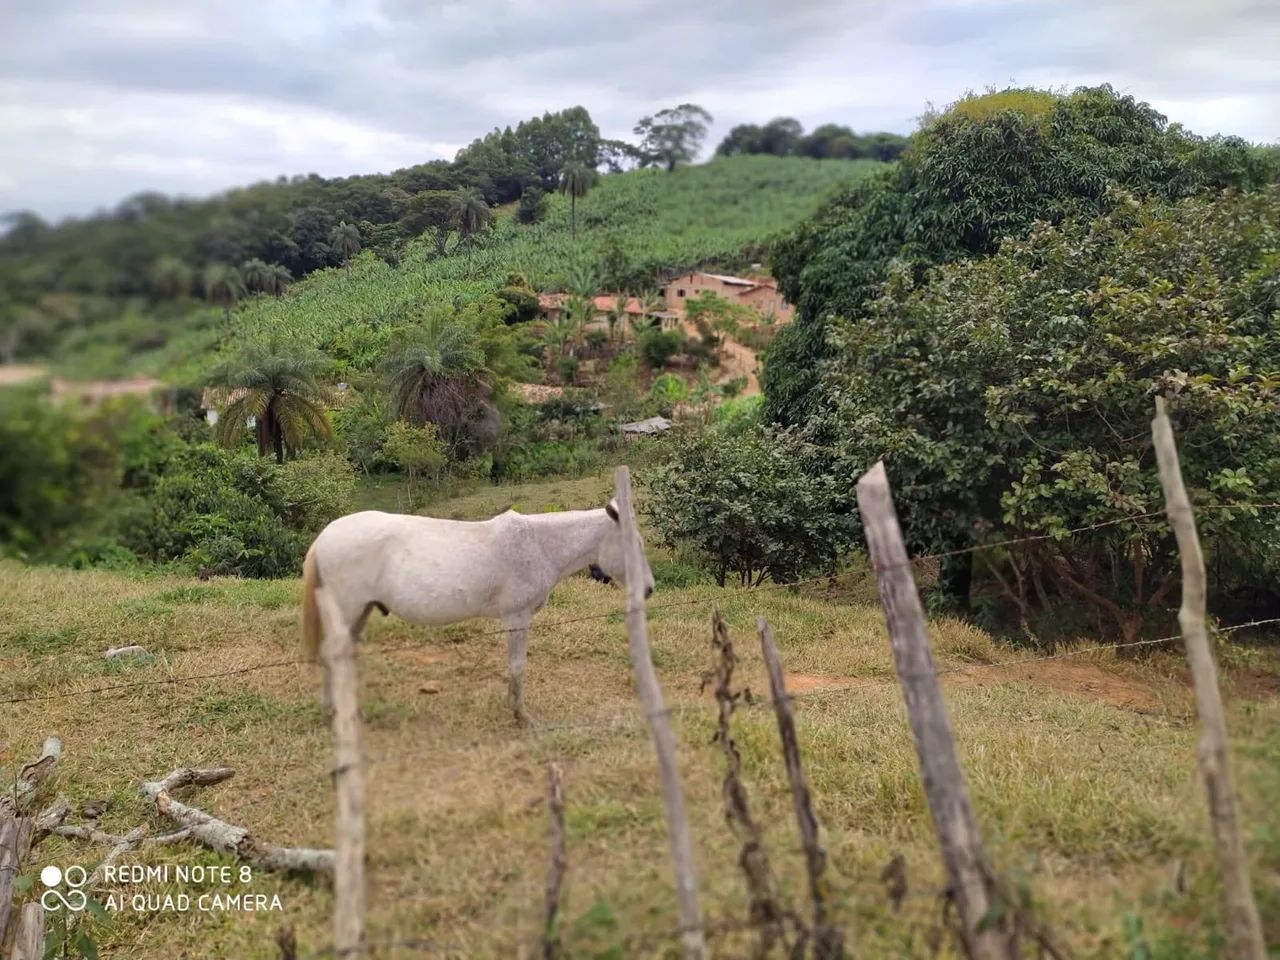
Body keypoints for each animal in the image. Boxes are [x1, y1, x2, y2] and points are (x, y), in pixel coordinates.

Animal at [303, 499, 655, 727]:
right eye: (634, 545)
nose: (648, 589)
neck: (538, 545)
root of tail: (324, 537)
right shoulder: (517, 618)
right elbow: (517, 666)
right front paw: (520, 715)